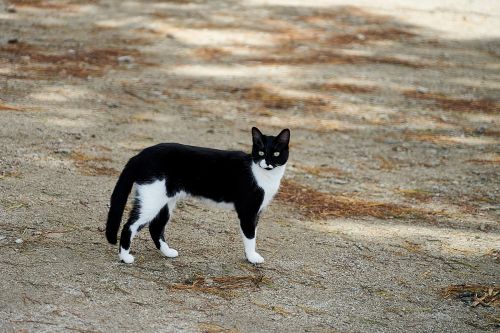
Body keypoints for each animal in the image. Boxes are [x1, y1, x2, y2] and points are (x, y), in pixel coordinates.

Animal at [107, 126, 292, 264]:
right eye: (260, 152)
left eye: (276, 153)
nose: (267, 163)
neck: (265, 176)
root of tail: (139, 155)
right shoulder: (248, 211)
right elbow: (250, 235)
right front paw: (252, 257)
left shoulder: (258, 212)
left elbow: (253, 233)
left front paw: (250, 256)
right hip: (151, 198)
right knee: (129, 225)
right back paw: (125, 257)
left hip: (166, 199)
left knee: (156, 227)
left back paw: (168, 252)